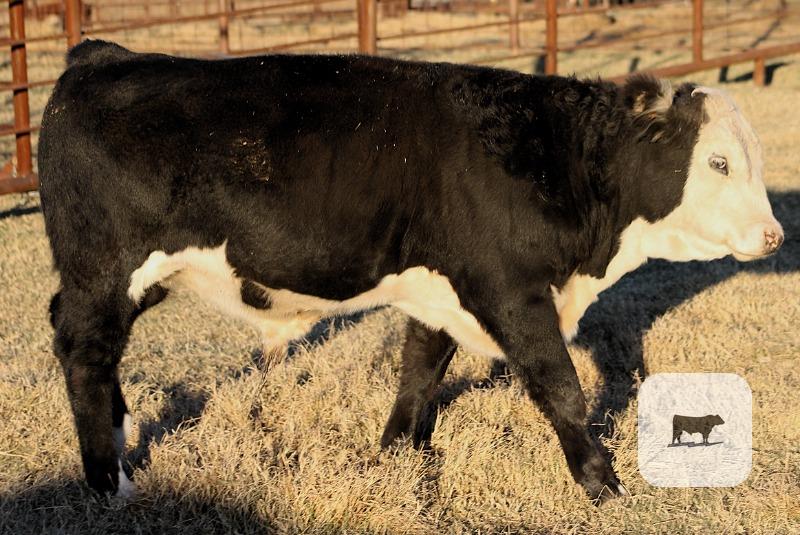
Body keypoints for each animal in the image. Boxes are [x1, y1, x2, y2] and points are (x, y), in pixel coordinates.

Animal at [38, 40, 783, 502]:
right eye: (718, 162)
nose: (775, 235)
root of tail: (101, 56)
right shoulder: (509, 289)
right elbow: (561, 386)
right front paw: (603, 484)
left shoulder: (443, 287)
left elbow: (421, 370)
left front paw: (396, 454)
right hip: (103, 273)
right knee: (84, 355)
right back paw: (110, 482)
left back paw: (121, 440)